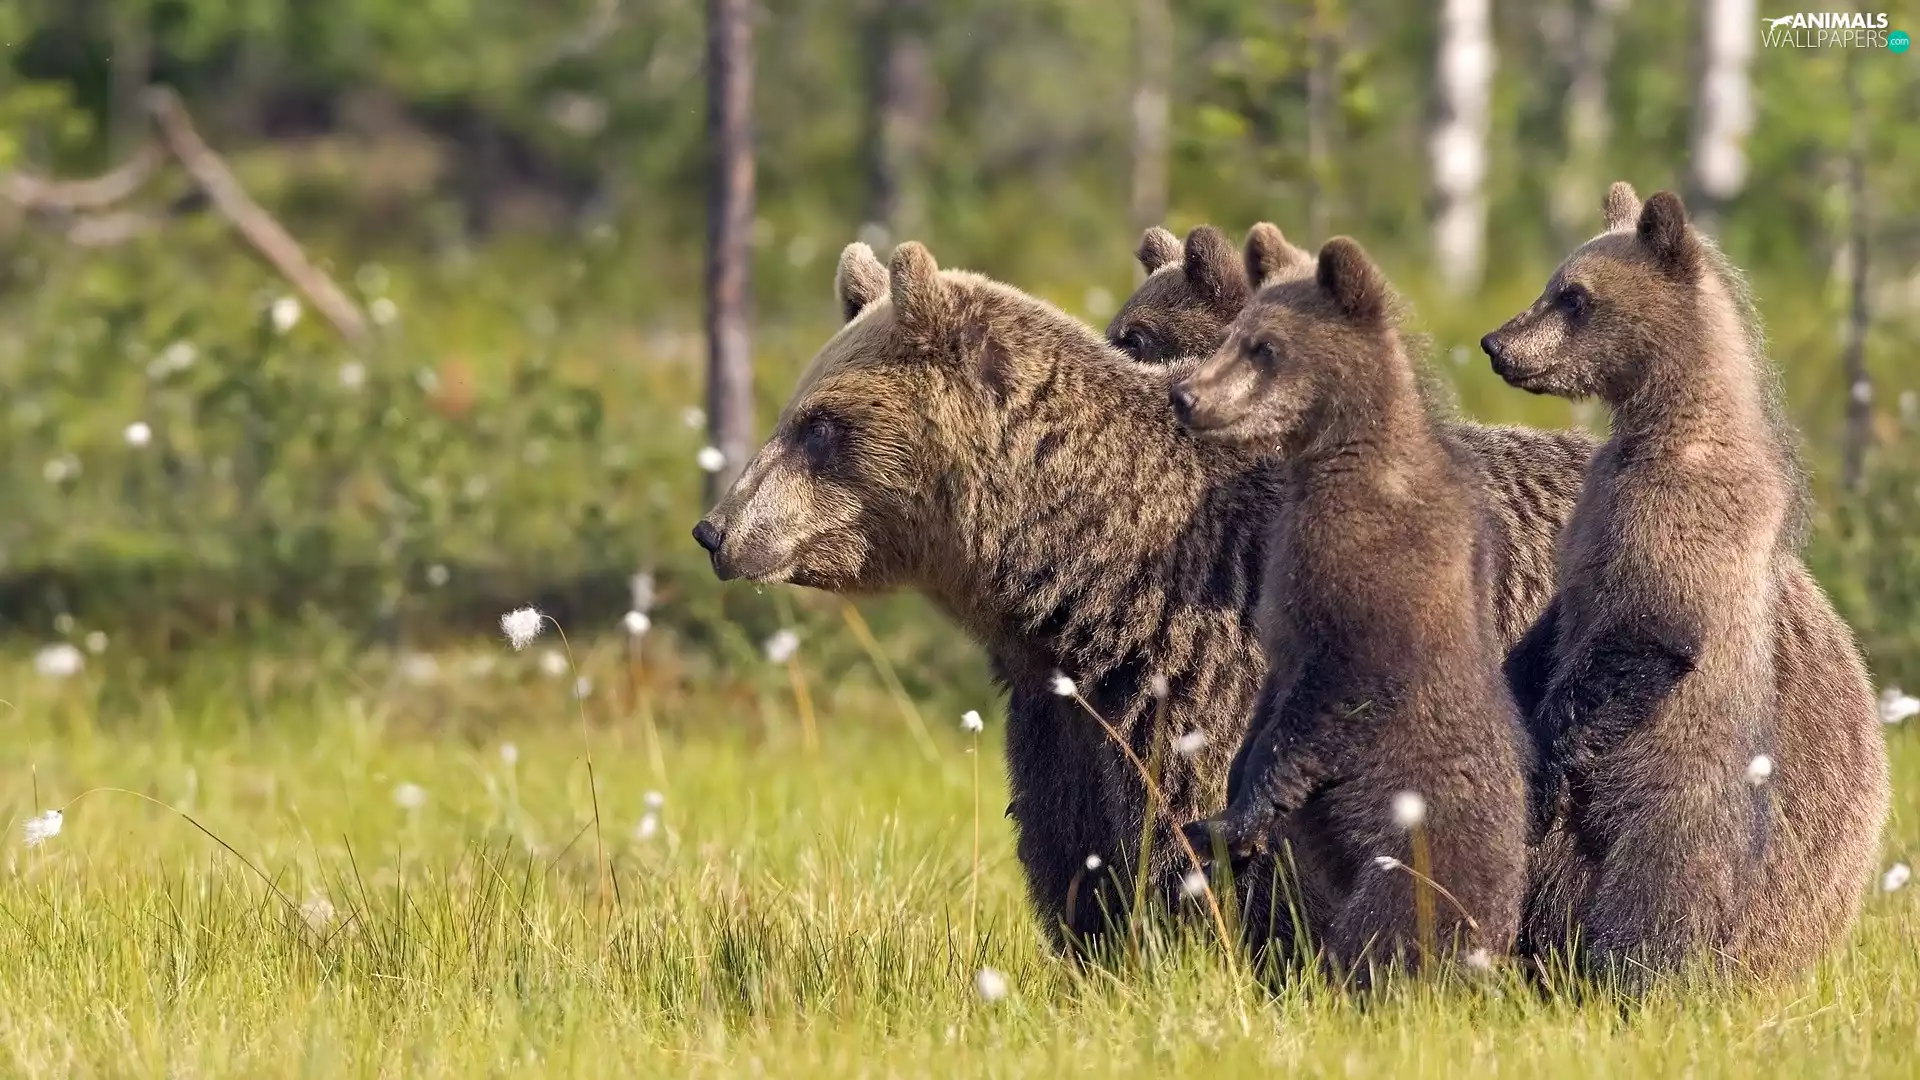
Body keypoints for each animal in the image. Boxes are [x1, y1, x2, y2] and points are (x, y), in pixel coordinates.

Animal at [1177, 237, 1529, 982]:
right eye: (1231, 335)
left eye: (1265, 346)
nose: (1185, 394)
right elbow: (1271, 699)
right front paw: (1227, 804)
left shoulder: (1371, 579)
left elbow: (1332, 696)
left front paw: (1229, 820)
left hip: (1419, 856)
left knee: (1388, 933)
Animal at [1481, 183, 1891, 987]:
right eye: (1553, 283)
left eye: (1574, 296)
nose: (1496, 342)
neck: (1664, 421)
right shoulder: (1591, 514)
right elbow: (1556, 622)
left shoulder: (1678, 519)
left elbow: (1646, 635)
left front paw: (1542, 758)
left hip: (1673, 807)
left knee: (1649, 906)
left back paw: (1628, 974)